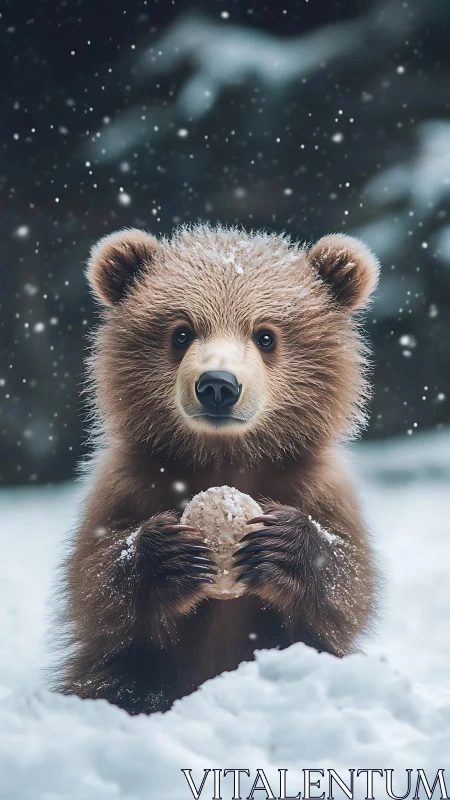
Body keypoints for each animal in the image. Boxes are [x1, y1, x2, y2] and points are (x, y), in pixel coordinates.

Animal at [55, 223, 380, 715]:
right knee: (119, 681)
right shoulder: (128, 482)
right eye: (181, 332)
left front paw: (283, 545)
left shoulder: (316, 485)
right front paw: (167, 555)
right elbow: (96, 582)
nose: (218, 385)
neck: (224, 458)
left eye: (266, 336)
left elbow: (347, 584)